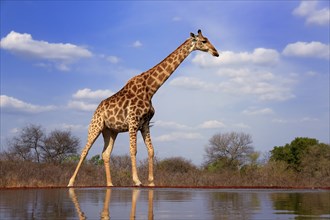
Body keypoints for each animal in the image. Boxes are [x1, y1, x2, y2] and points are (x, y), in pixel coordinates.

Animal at [67, 29, 219, 187]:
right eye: (203, 41)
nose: (216, 52)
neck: (150, 89)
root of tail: (96, 109)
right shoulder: (133, 122)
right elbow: (133, 150)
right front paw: (137, 180)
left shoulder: (145, 123)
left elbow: (151, 150)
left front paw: (151, 181)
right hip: (95, 126)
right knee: (84, 151)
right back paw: (71, 182)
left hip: (110, 131)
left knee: (105, 154)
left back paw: (110, 184)